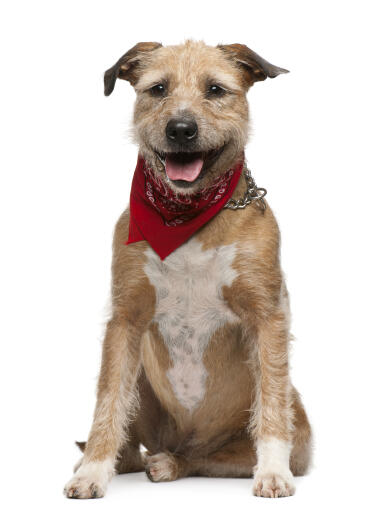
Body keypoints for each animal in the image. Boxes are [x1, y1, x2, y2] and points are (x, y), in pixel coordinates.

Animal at [63, 40, 310, 500]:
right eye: (158, 88)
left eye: (215, 89)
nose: (180, 129)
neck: (187, 216)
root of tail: (183, 440)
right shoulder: (125, 318)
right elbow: (108, 400)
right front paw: (92, 472)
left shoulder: (268, 315)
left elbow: (270, 395)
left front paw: (272, 471)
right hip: (142, 384)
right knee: (134, 442)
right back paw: (123, 461)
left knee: (204, 459)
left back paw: (170, 465)